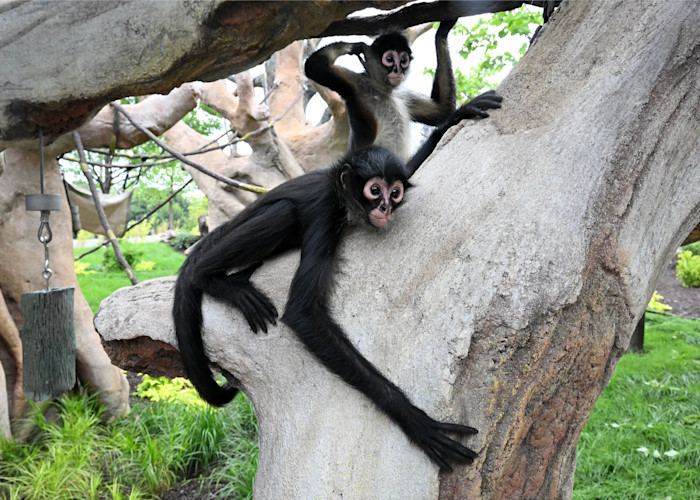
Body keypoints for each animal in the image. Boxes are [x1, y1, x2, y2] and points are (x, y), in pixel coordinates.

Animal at [173, 146, 477, 470]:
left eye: (395, 193)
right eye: (375, 191)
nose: (386, 207)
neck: (339, 191)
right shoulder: (326, 210)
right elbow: (302, 313)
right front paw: (414, 420)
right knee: (282, 213)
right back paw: (209, 277)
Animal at [304, 21, 503, 175]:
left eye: (403, 60)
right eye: (389, 59)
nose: (397, 70)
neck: (382, 88)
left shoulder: (402, 94)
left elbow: (441, 111)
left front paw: (442, 31)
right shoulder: (357, 83)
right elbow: (314, 66)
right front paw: (358, 46)